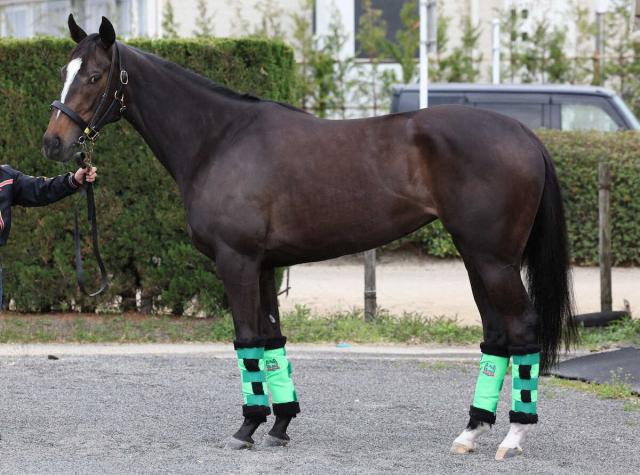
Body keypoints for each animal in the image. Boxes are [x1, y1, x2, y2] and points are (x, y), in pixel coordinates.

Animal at [42, 15, 576, 459]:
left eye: (95, 76)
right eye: (64, 71)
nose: (53, 143)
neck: (221, 140)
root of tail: (525, 135)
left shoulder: (236, 262)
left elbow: (247, 341)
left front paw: (247, 427)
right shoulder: (264, 266)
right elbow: (272, 339)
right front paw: (280, 425)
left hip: (494, 260)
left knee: (521, 330)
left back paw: (512, 437)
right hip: (475, 257)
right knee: (496, 335)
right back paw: (470, 431)